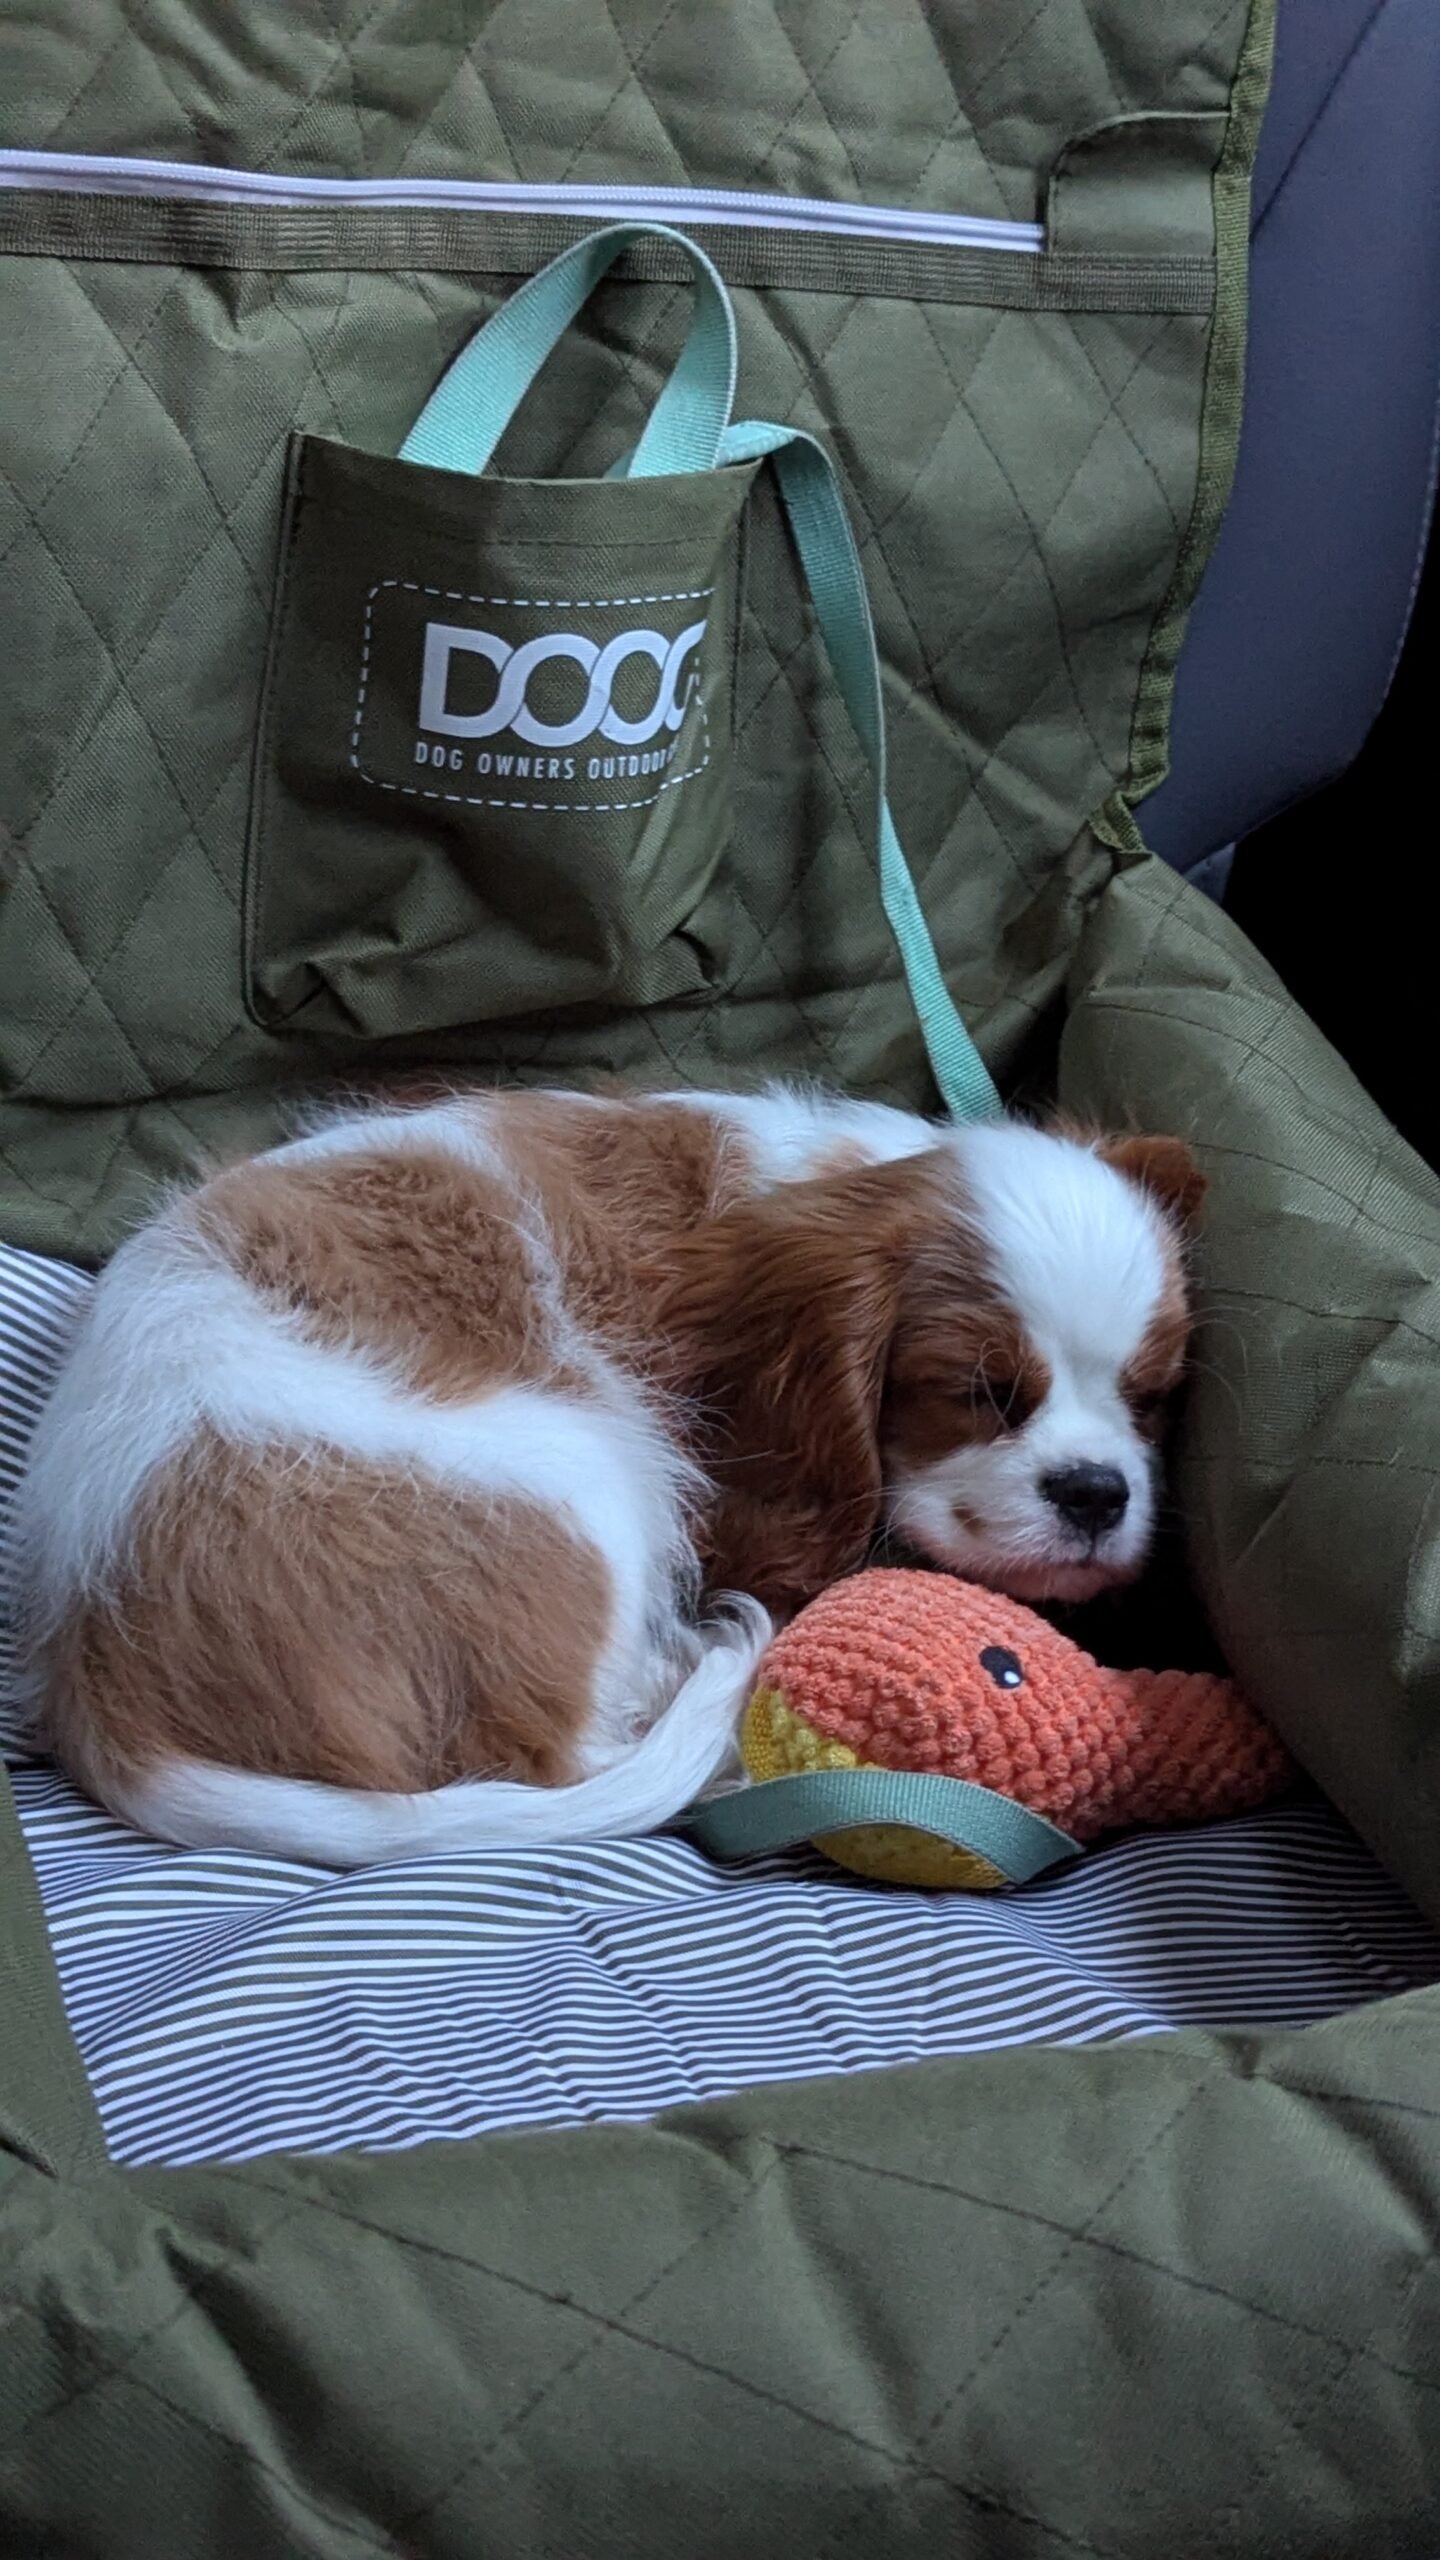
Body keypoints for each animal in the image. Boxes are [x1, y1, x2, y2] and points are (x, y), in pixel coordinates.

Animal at [15, 1084, 1203, 1865]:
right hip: (585, 1479)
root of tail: (99, 1669)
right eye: (980, 1391)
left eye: (1152, 1393)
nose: (1098, 1493)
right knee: (566, 1748)